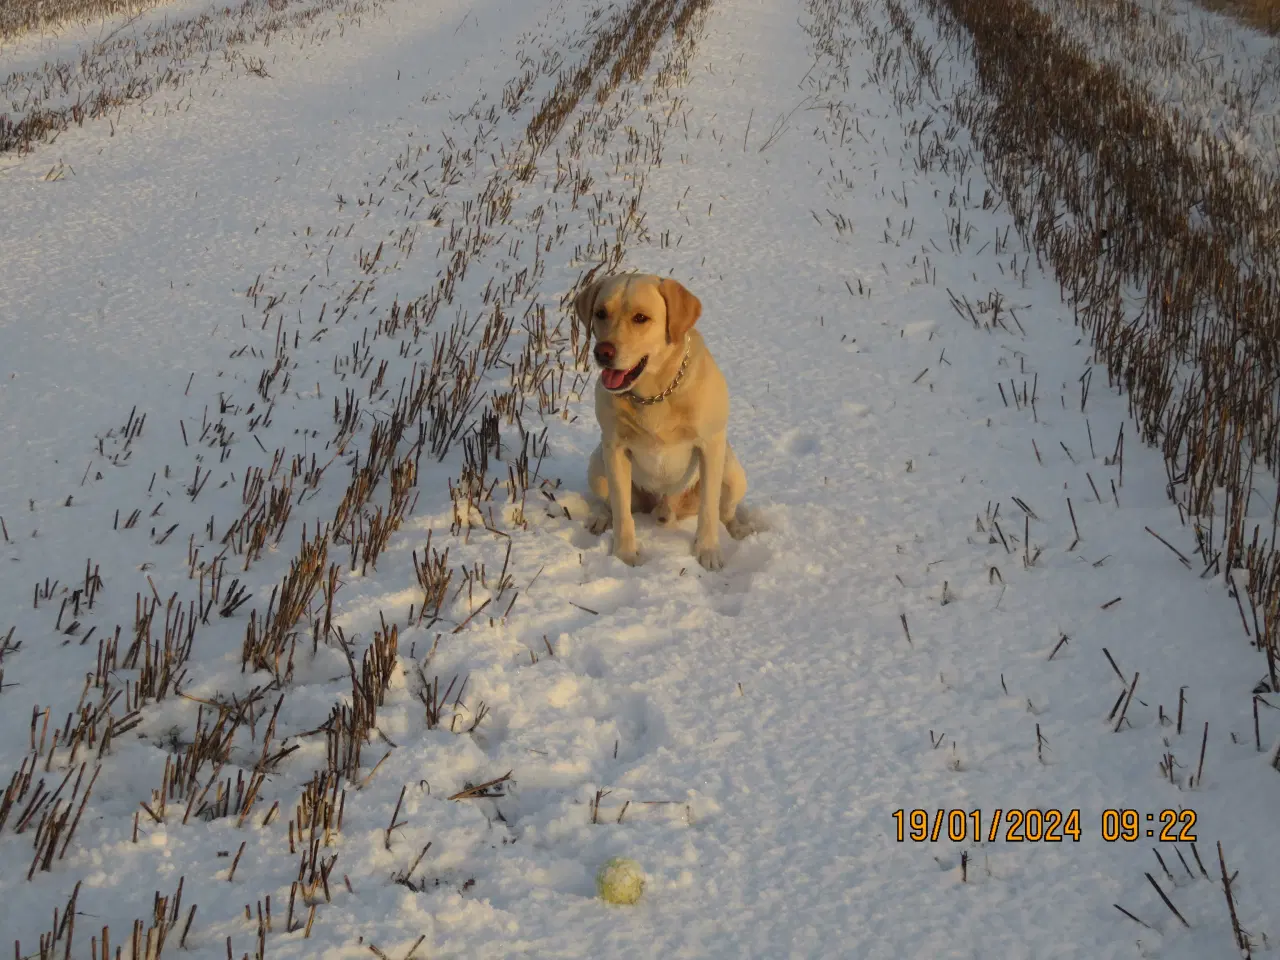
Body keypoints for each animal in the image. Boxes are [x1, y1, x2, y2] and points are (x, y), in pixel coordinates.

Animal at [578, 272, 747, 570]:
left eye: (640, 318)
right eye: (600, 313)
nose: (602, 352)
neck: (654, 395)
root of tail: (666, 507)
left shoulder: (711, 445)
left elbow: (708, 508)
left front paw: (707, 551)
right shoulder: (615, 448)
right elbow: (621, 511)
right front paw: (625, 554)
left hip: (733, 472)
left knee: (725, 510)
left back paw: (737, 530)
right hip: (597, 464)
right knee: (608, 502)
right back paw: (600, 517)